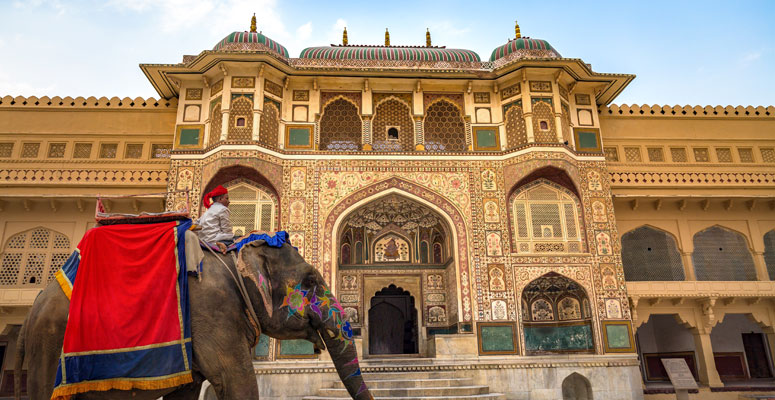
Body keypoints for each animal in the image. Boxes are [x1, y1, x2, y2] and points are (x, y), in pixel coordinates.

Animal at [15, 237, 373, 400]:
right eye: (310, 280)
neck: (232, 256)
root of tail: (31, 311)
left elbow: (187, 391)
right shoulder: (212, 311)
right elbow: (238, 381)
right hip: (49, 344)